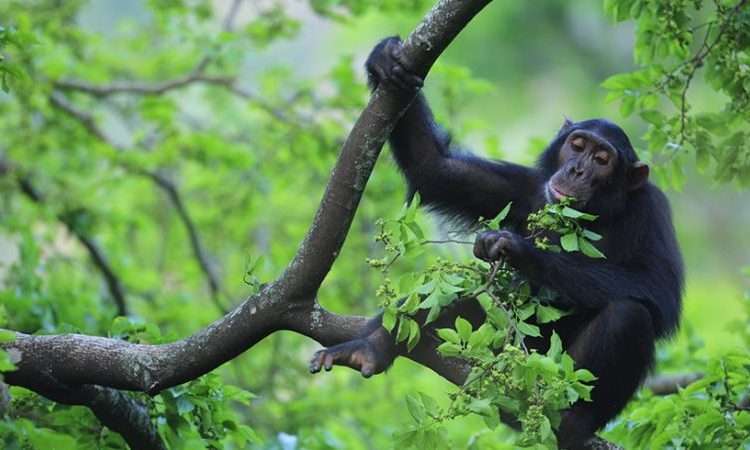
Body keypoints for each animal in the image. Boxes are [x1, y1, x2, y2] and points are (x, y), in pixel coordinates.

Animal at [308, 36, 684, 450]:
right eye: (577, 145)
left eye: (602, 159)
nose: (577, 170)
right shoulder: (523, 188)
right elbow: (436, 169)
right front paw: (386, 58)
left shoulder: (653, 211)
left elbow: (656, 287)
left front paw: (518, 250)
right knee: (460, 288)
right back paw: (369, 348)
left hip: (549, 374)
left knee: (629, 315)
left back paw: (573, 421)